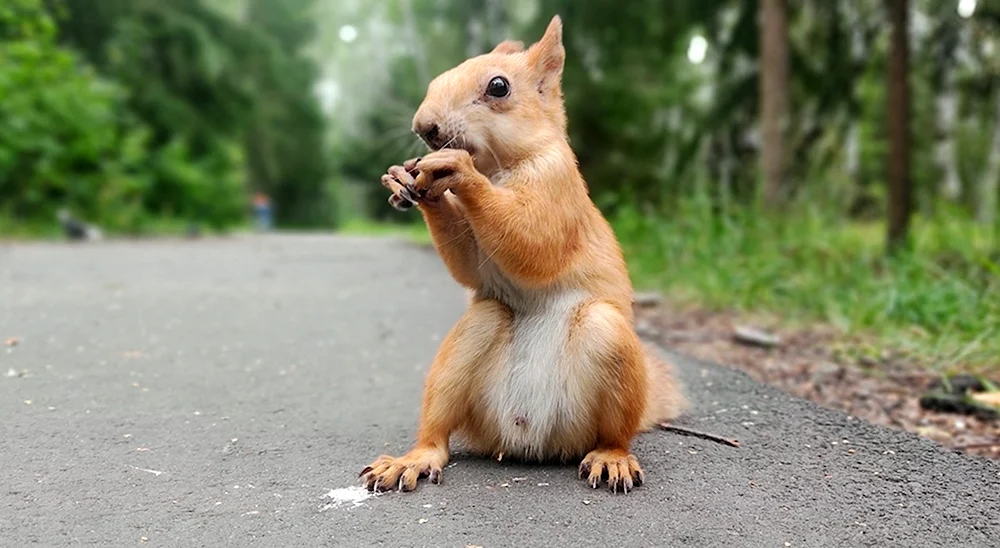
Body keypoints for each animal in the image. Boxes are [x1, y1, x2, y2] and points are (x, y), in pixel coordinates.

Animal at [366, 15, 688, 494]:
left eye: (499, 87)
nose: (424, 126)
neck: (496, 169)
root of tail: (530, 442)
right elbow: (470, 264)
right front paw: (407, 182)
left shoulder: (559, 191)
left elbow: (531, 243)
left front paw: (456, 169)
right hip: (471, 347)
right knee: (438, 435)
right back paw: (412, 460)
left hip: (607, 348)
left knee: (613, 434)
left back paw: (612, 459)